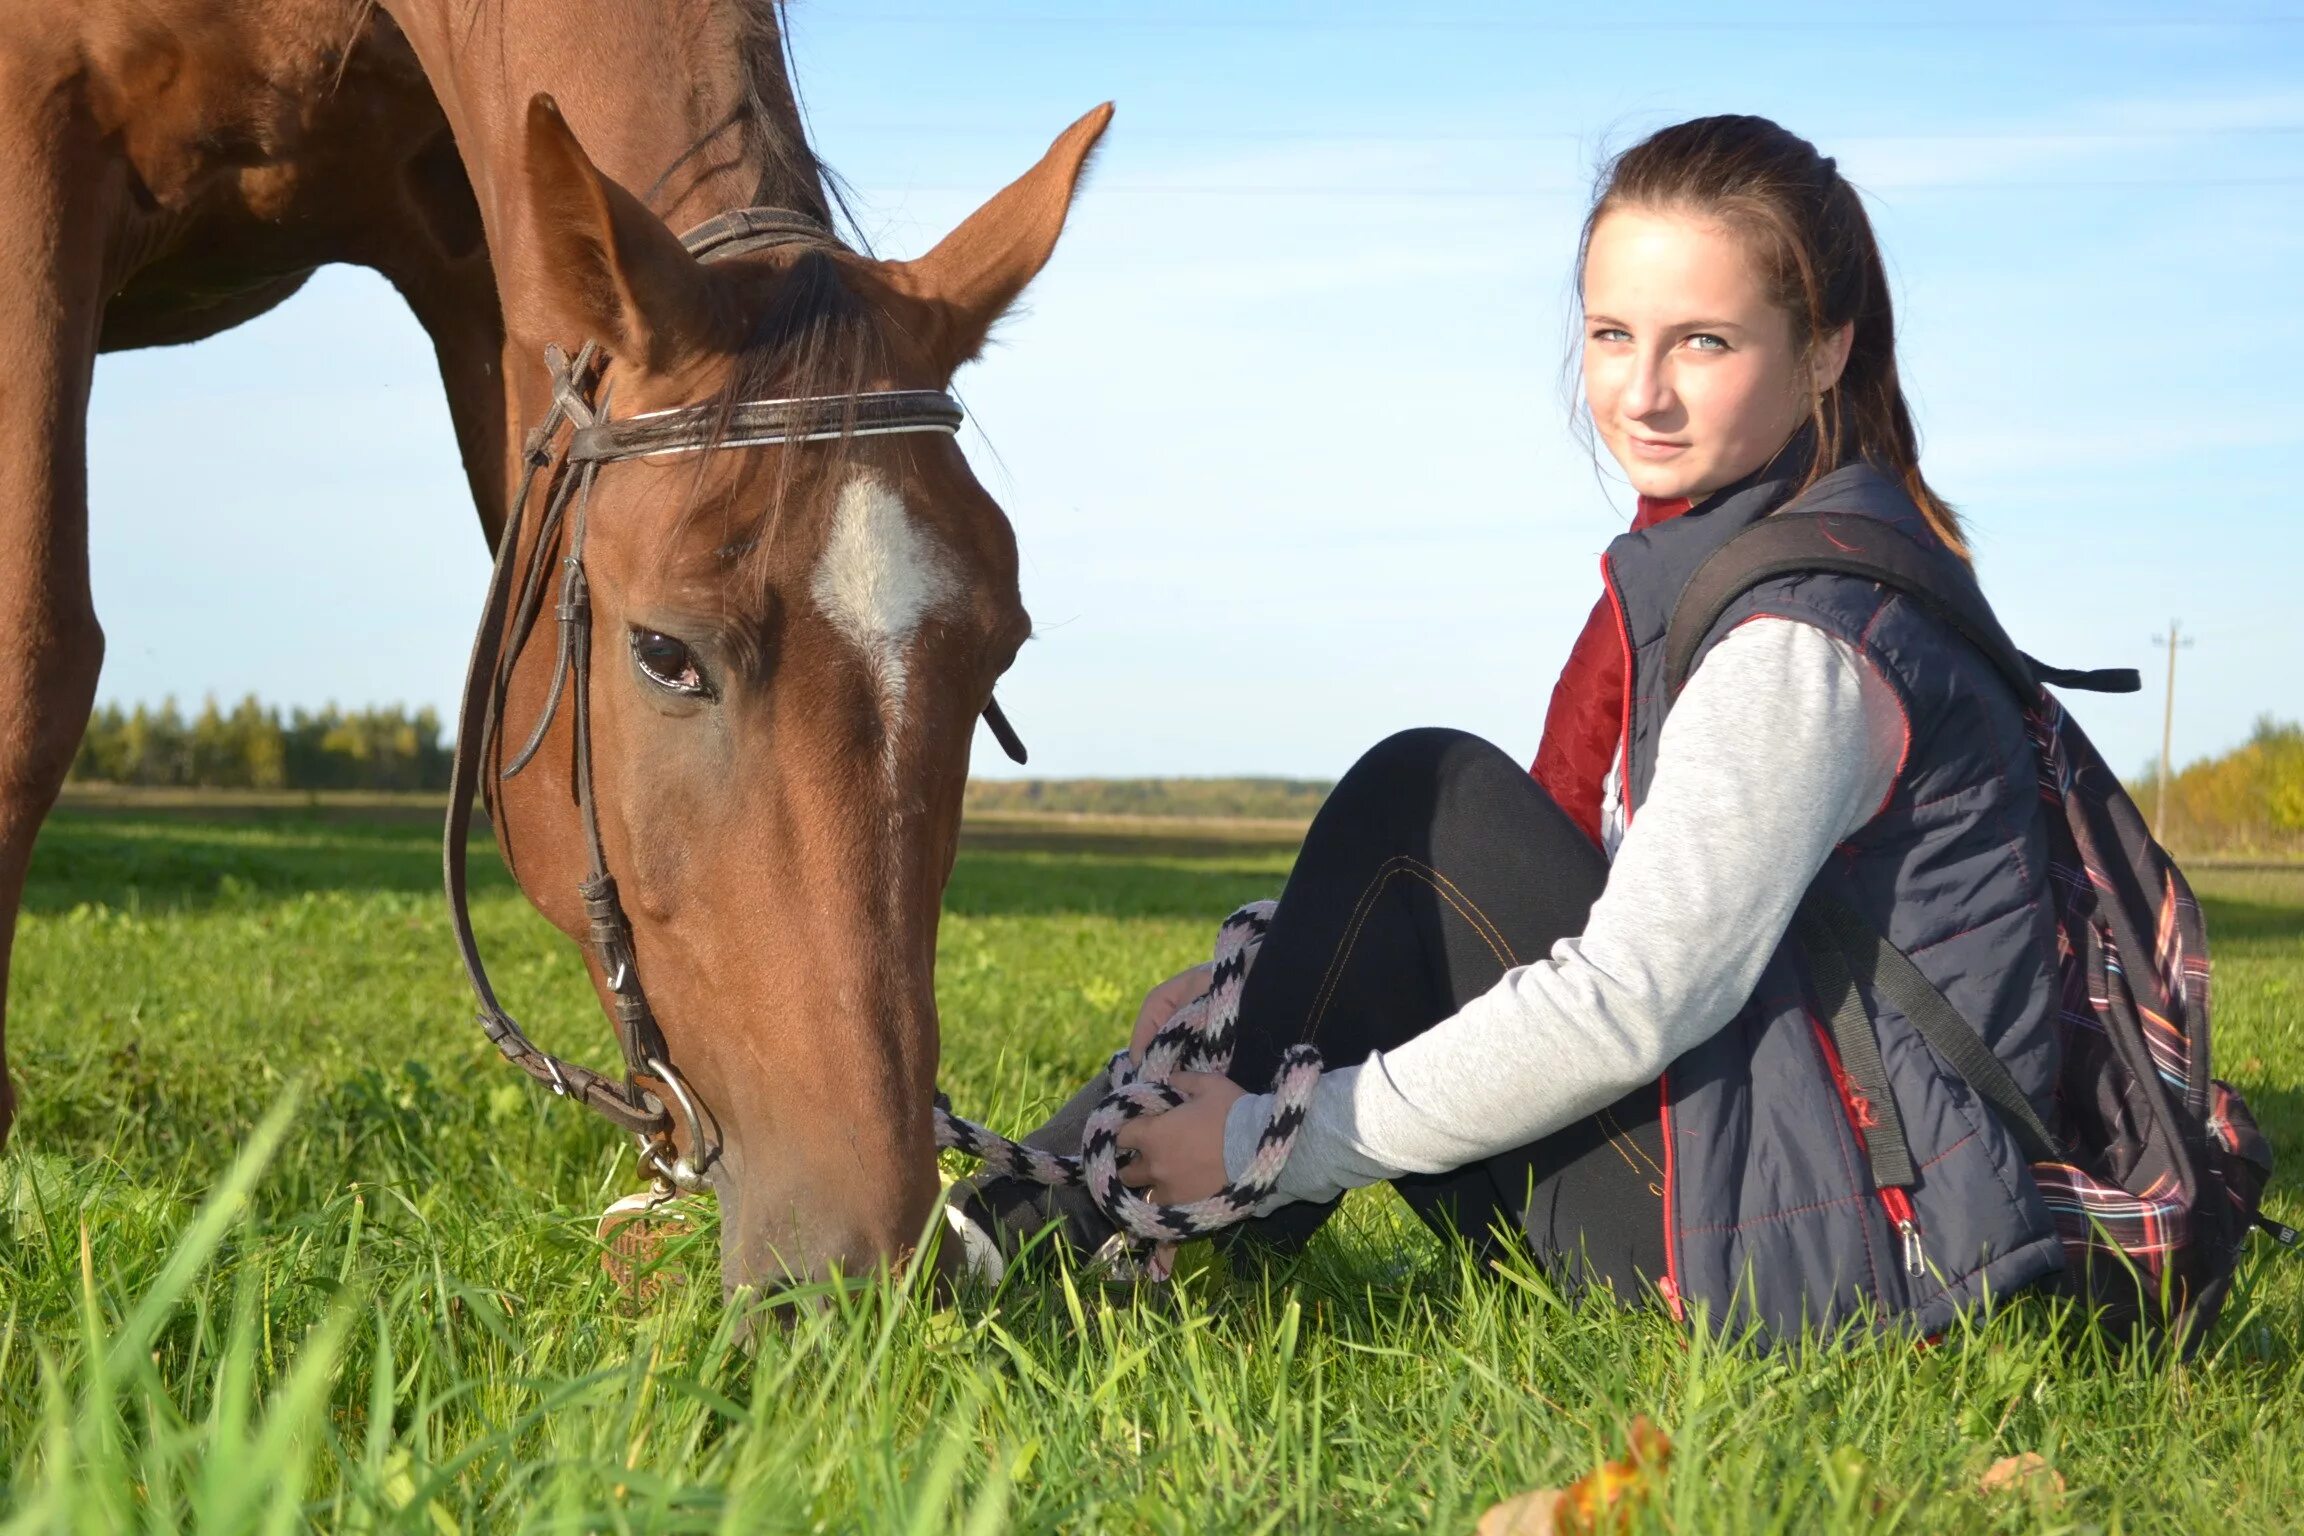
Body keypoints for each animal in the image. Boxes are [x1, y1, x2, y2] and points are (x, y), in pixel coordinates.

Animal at [0, 0, 1115, 1298]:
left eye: (998, 655)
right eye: (665, 653)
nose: (862, 1272)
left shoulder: (477, 249)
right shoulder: (36, 133)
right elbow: (36, 662)